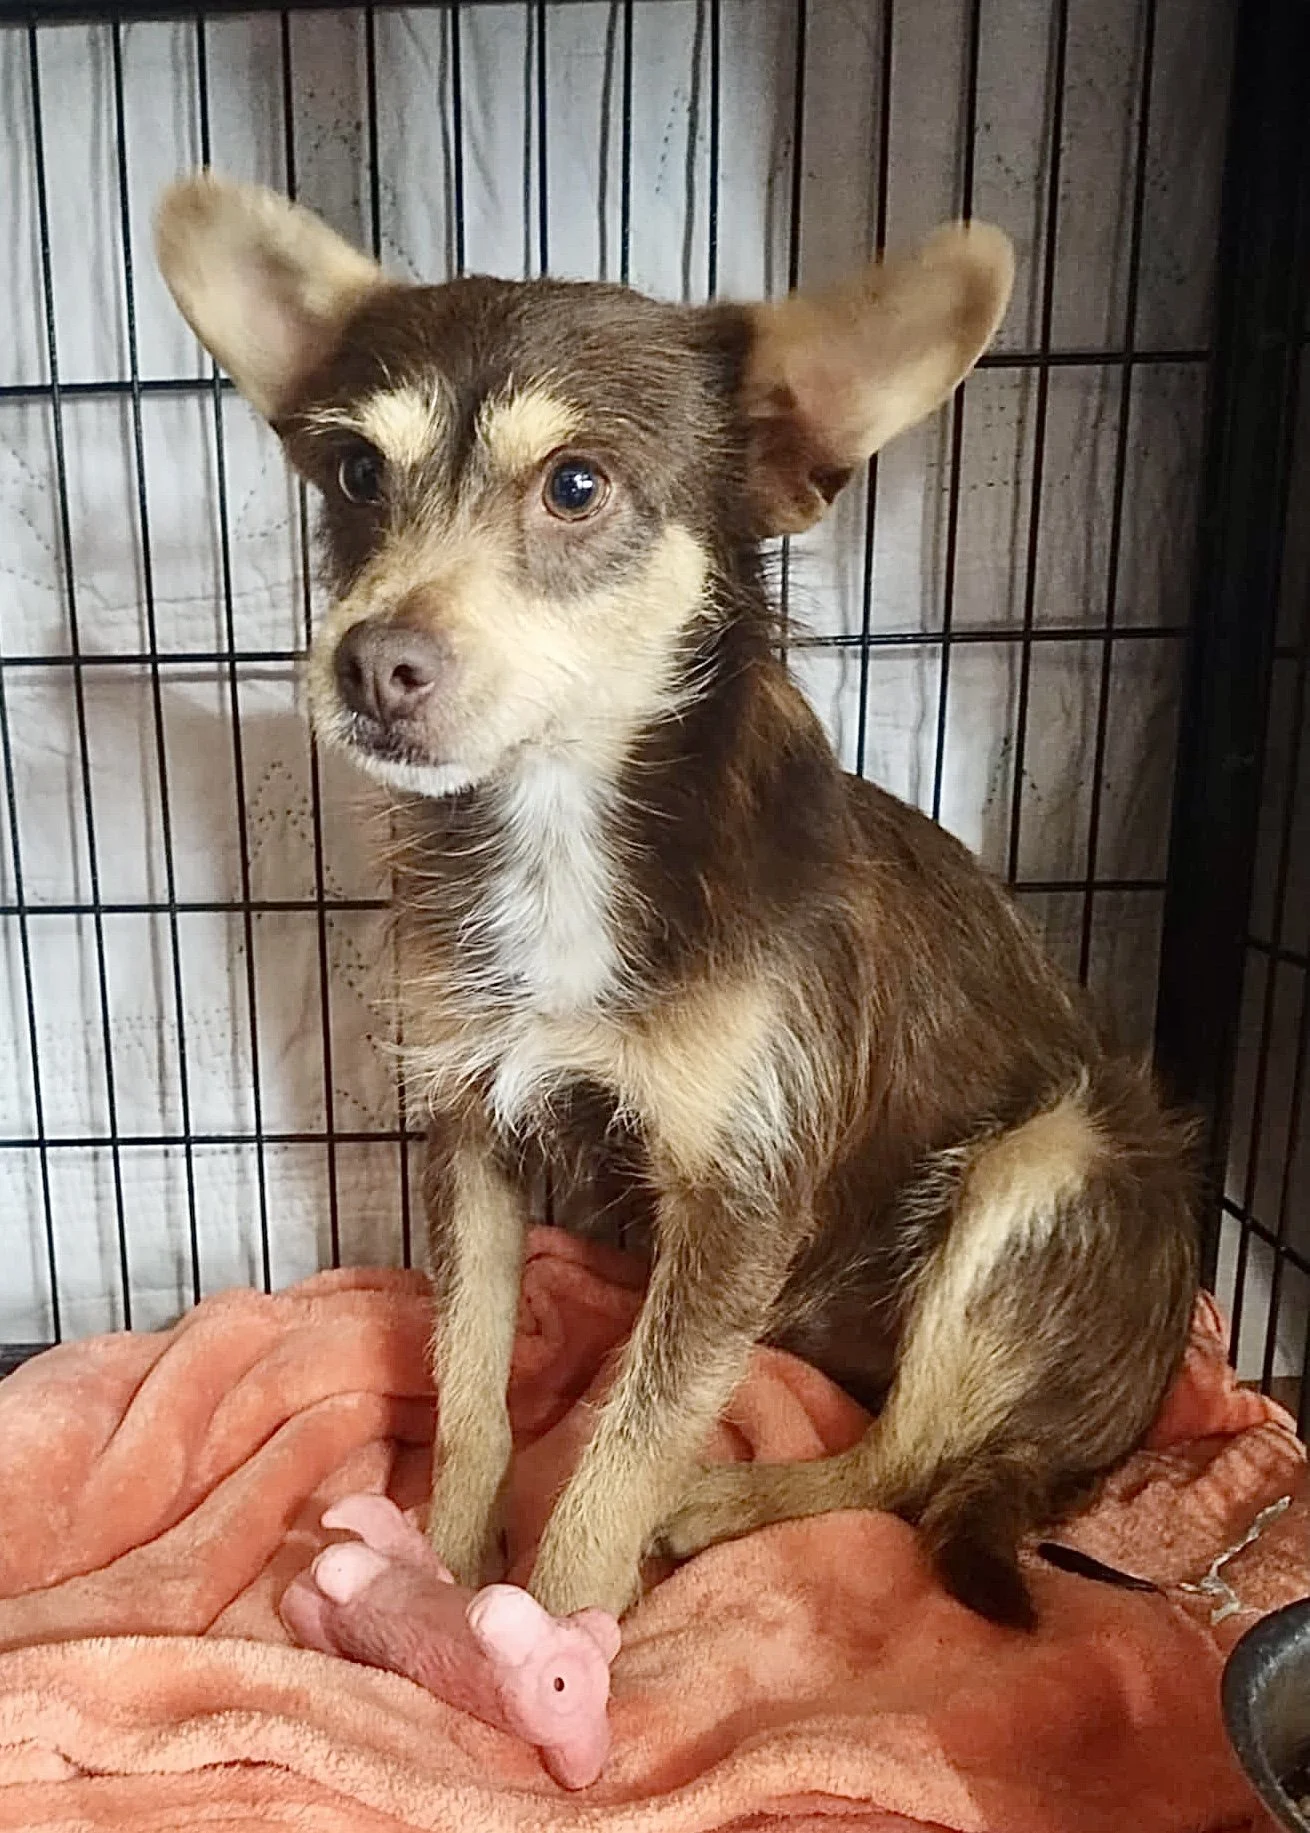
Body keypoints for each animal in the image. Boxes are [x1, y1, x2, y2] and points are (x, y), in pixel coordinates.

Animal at [154, 174, 1198, 1630]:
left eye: (576, 486)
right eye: (357, 474)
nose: (371, 664)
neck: (560, 830)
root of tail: (1107, 1429)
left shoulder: (736, 1199)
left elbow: (625, 1449)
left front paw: (557, 1630)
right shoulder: (473, 1134)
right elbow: (467, 1383)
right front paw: (444, 1568)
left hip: (1044, 1168)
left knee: (905, 1464)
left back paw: (725, 1504)